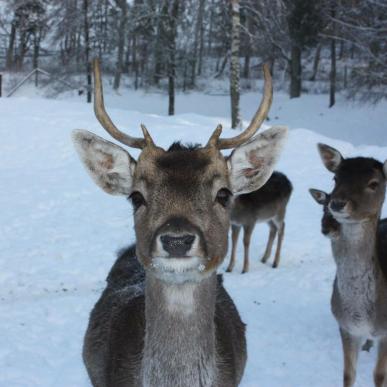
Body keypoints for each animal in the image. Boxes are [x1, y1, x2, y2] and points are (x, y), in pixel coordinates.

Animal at [316, 144, 387, 386]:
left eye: (373, 183)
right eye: (336, 178)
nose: (337, 203)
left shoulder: (386, 332)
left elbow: (379, 376)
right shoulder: (346, 327)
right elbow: (348, 374)